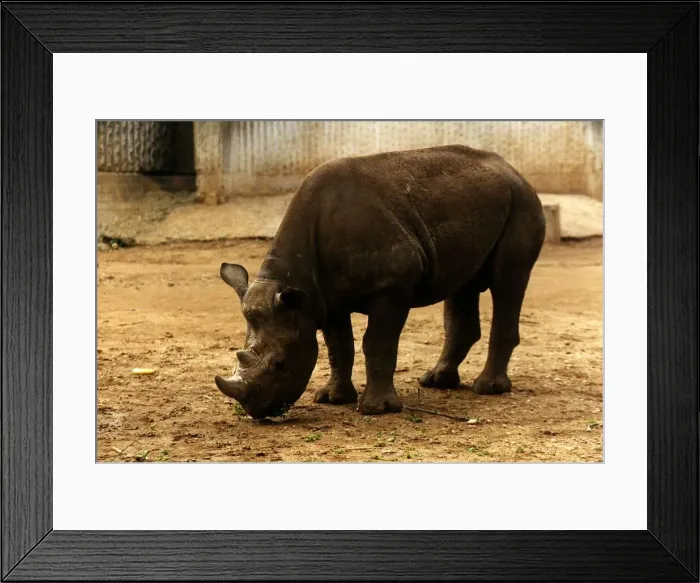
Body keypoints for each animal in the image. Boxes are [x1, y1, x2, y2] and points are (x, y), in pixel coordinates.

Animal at [215, 145, 546, 418]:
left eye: (280, 364)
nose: (257, 412)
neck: (294, 281)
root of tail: (514, 170)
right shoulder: (323, 297)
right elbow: (339, 346)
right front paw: (333, 398)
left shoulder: (393, 284)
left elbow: (377, 342)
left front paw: (377, 409)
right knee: (462, 287)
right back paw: (437, 382)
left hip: (522, 203)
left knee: (508, 282)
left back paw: (487, 388)